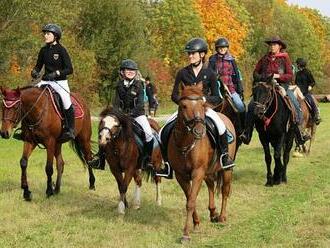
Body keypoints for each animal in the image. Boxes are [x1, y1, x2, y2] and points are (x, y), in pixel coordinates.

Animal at [166, 82, 236, 241]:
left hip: (226, 169)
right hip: (208, 171)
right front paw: (196, 223)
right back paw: (213, 212)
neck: (186, 143)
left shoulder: (197, 172)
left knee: (225, 191)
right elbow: (189, 198)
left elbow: (191, 201)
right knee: (211, 184)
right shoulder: (181, 175)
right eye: (183, 105)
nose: (199, 131)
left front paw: (186, 234)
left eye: (202, 104)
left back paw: (222, 217)